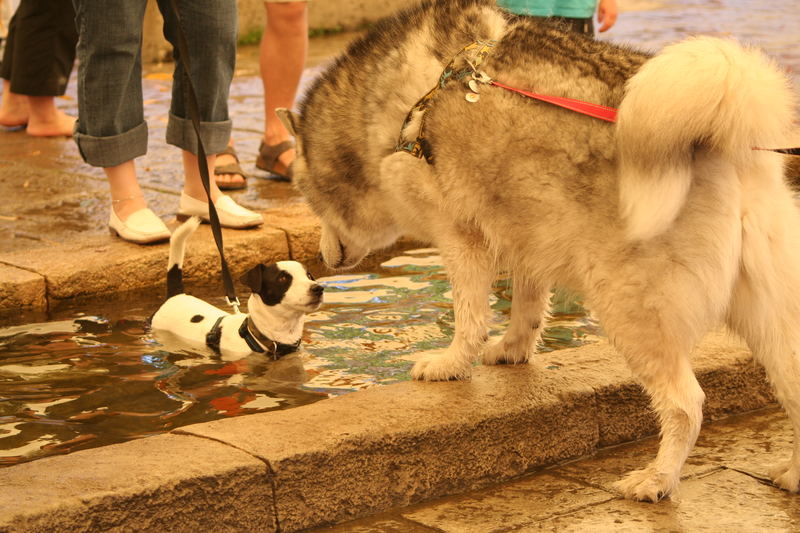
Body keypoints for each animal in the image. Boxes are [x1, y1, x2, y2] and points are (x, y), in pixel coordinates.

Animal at [280, 0, 800, 500]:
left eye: (306, 197)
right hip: (765, 315)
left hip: (630, 308)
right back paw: (792, 475)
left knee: (686, 405)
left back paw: (656, 480)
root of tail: (721, 143)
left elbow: (469, 316)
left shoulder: (461, 236)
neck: (388, 109)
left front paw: (452, 363)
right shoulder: (528, 225)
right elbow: (528, 306)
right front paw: (513, 349)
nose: (323, 260)